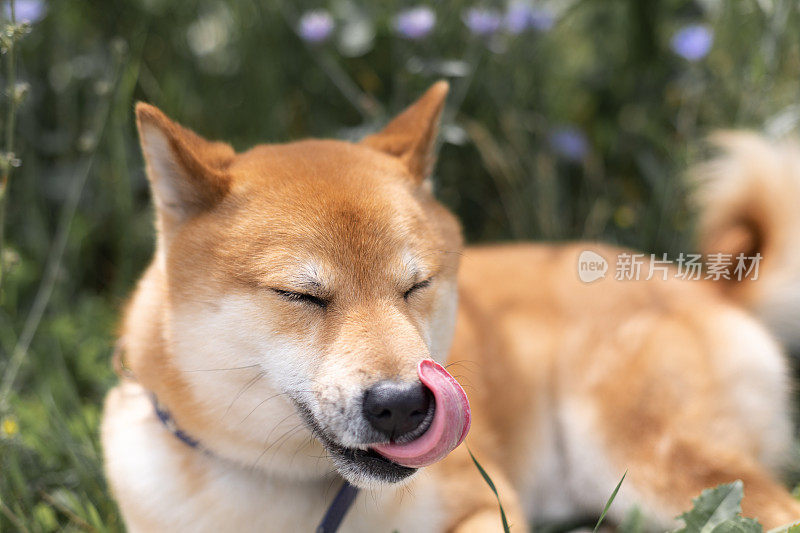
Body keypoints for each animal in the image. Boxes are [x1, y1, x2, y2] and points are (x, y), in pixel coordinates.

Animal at [101, 81, 800, 528]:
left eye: (415, 286)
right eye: (302, 295)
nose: (403, 405)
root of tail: (706, 286)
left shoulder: (484, 506)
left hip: (642, 454)